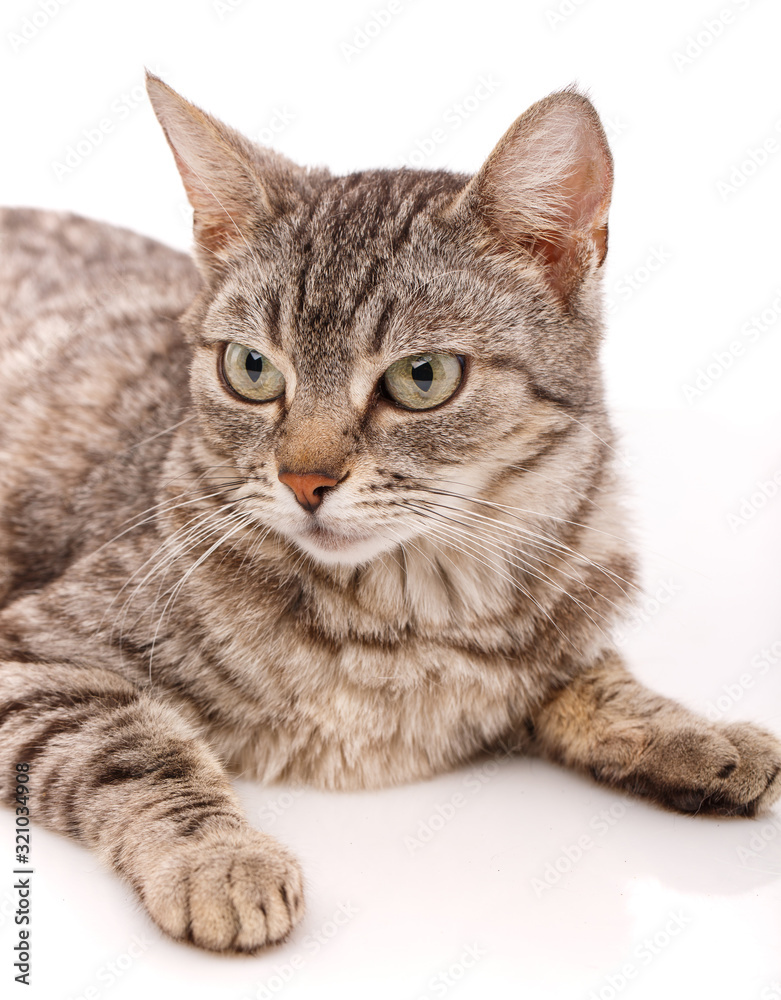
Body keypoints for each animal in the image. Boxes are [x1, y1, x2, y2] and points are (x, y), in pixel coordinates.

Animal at [0, 76, 776, 952]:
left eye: (422, 376)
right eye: (251, 368)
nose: (304, 479)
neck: (414, 609)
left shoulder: (574, 598)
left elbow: (595, 678)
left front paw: (695, 733)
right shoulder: (35, 653)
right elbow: (138, 749)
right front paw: (218, 859)